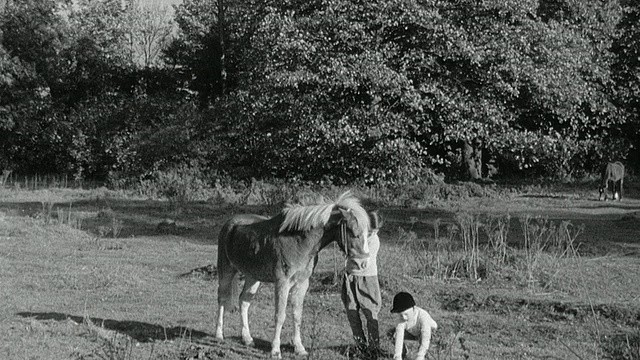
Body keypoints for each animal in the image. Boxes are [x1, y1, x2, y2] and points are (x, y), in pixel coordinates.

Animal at [215, 191, 376, 358]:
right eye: (354, 233)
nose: (363, 264)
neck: (298, 241)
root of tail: (230, 223)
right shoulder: (282, 283)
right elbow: (280, 315)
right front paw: (275, 350)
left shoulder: (302, 283)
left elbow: (297, 315)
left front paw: (299, 348)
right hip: (226, 270)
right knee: (222, 298)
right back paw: (219, 335)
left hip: (253, 277)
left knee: (244, 301)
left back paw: (247, 339)